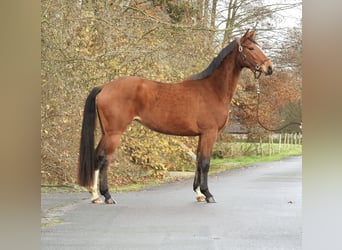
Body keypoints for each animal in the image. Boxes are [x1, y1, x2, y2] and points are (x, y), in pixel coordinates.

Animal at [77, 29, 272, 205]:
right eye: (251, 48)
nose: (269, 68)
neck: (212, 89)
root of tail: (104, 87)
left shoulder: (202, 135)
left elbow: (198, 161)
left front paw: (198, 194)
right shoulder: (210, 133)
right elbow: (205, 163)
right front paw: (208, 194)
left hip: (106, 132)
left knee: (96, 156)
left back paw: (95, 196)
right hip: (114, 133)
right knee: (103, 159)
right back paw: (106, 195)